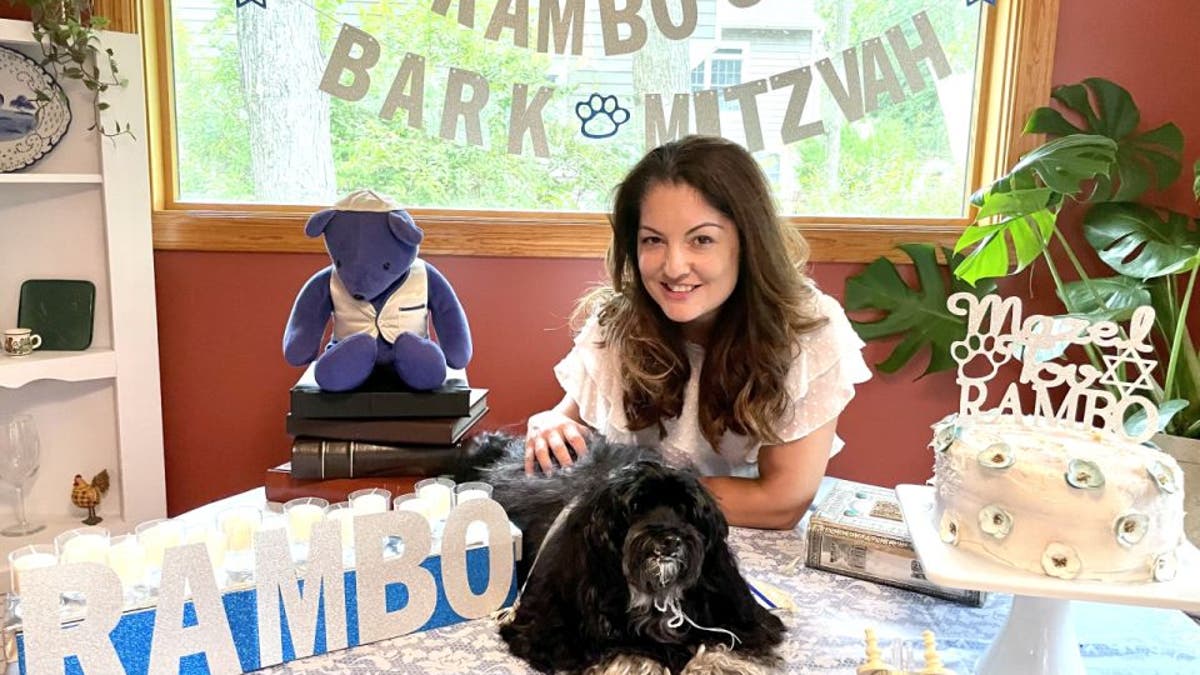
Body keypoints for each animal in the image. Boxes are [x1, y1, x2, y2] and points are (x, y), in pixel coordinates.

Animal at [460, 429, 787, 672]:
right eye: (636, 507)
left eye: (686, 511)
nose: (670, 540)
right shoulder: (547, 631)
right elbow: (627, 652)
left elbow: (721, 645)